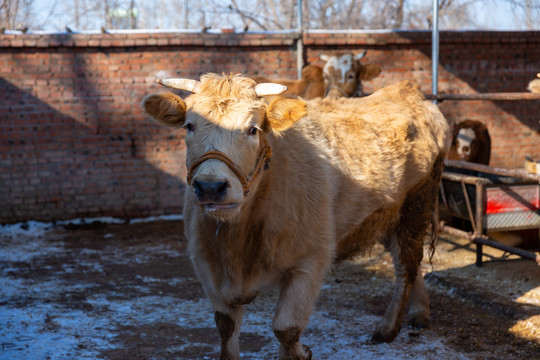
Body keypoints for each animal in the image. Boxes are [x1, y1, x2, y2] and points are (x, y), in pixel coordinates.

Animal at [143, 74, 452, 360]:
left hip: (416, 207)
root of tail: (408, 92)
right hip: (389, 216)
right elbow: (226, 326)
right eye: (189, 126)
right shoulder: (206, 265)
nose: (210, 186)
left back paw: (388, 329)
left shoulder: (309, 263)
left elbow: (286, 329)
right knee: (408, 263)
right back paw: (419, 313)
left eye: (252, 129)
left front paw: (302, 352)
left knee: (406, 266)